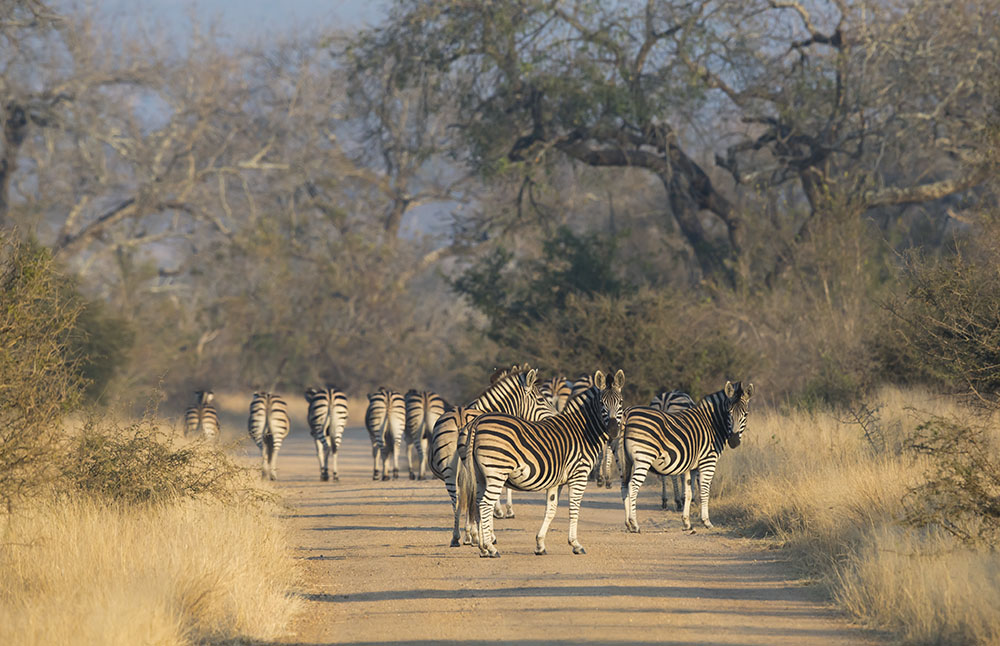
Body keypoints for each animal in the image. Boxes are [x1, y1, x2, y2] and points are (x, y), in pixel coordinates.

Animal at [428, 364, 560, 548]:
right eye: (541, 400)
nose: (557, 418)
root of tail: (461, 416)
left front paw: (470, 535)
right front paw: (483, 534)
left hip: (450, 470)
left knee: (457, 500)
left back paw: (456, 537)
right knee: (475, 501)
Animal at [468, 372, 624, 560]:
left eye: (621, 402)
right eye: (602, 403)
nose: (613, 431)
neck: (584, 432)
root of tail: (478, 421)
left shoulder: (556, 481)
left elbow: (551, 510)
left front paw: (540, 545)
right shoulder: (579, 475)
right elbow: (574, 509)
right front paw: (576, 544)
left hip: (480, 476)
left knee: (477, 504)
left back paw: (483, 548)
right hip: (496, 473)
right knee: (485, 505)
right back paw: (490, 548)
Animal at [620, 382, 752, 536]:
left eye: (745, 414)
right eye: (729, 413)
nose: (734, 441)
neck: (713, 423)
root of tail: (628, 413)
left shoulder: (692, 467)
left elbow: (689, 492)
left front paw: (687, 523)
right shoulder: (708, 461)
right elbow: (704, 491)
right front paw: (706, 521)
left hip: (625, 460)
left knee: (624, 486)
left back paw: (628, 524)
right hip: (643, 458)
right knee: (633, 486)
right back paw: (635, 524)